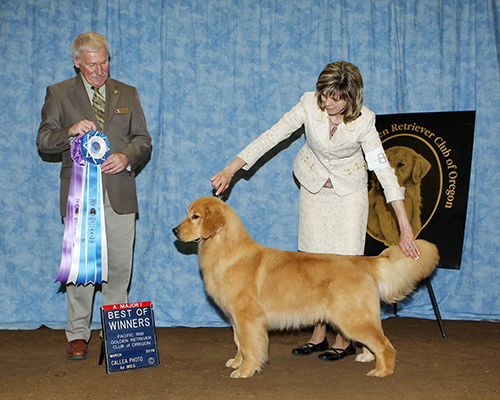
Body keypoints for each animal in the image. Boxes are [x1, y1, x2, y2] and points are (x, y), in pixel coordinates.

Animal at [174, 197, 440, 378]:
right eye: (188, 214)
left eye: (195, 216)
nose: (174, 231)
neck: (225, 250)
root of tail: (360, 261)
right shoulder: (236, 318)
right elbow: (239, 343)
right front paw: (237, 362)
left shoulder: (248, 317)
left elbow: (250, 346)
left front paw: (245, 370)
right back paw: (366, 357)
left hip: (352, 317)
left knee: (385, 345)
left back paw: (382, 371)